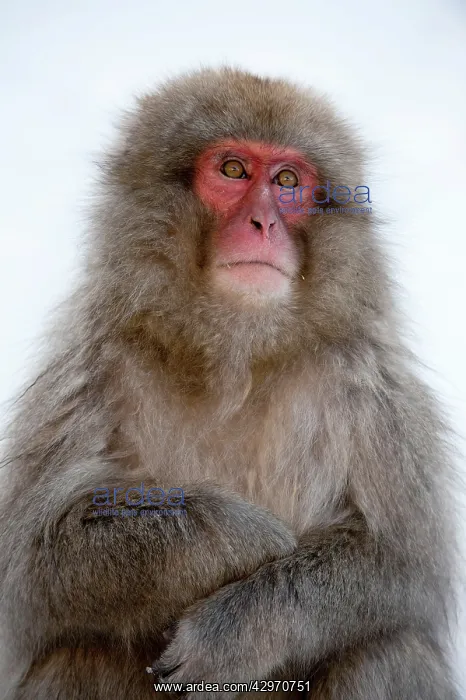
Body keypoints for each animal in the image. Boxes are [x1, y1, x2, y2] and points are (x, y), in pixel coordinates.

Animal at [0, 66, 460, 700]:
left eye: (288, 180)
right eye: (234, 170)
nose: (262, 223)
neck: (237, 353)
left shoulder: (368, 381)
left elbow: (406, 566)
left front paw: (240, 630)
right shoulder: (93, 364)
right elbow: (26, 570)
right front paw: (243, 536)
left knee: (388, 647)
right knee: (79, 653)